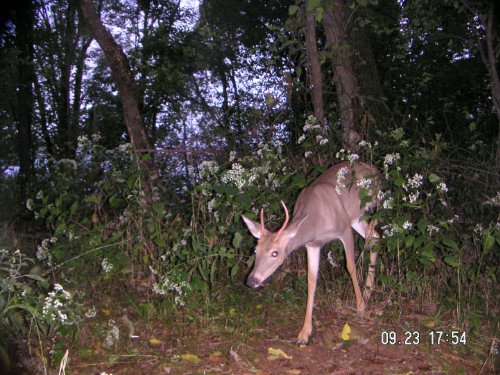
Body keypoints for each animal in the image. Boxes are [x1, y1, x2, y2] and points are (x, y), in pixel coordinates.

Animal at [242, 160, 378, 346]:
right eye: (255, 250)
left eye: (275, 253)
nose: (251, 280)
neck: (316, 222)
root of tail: (372, 168)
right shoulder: (312, 245)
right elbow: (311, 280)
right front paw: (304, 333)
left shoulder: (344, 229)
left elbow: (350, 266)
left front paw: (360, 307)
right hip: (357, 218)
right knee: (375, 236)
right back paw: (368, 292)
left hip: (363, 209)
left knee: (373, 236)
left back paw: (366, 295)